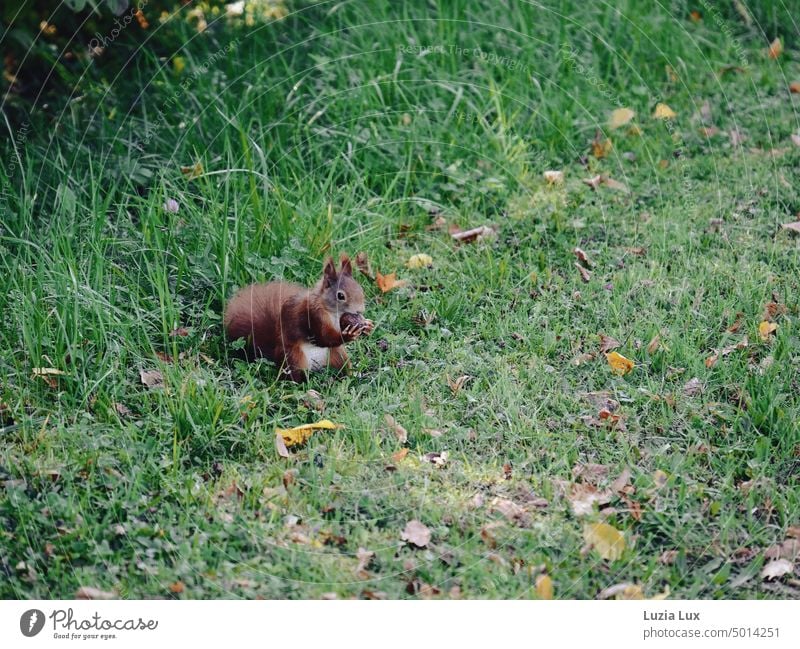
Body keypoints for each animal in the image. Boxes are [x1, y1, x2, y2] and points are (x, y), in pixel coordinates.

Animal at [225, 252, 376, 380]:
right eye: (340, 296)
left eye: (360, 288)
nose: (360, 310)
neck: (333, 312)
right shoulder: (313, 316)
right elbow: (323, 337)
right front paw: (348, 334)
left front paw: (367, 325)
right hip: (294, 357)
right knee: (293, 376)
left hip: (337, 354)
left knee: (342, 366)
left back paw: (353, 374)